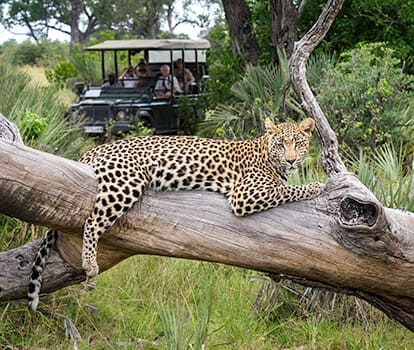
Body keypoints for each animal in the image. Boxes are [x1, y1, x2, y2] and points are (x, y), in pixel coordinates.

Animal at [28, 117, 324, 308]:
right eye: (281, 144)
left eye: (298, 143)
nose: (291, 160)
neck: (266, 153)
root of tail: (95, 148)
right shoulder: (245, 194)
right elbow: (287, 189)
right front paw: (318, 185)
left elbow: (286, 186)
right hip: (127, 181)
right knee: (92, 220)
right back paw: (90, 264)